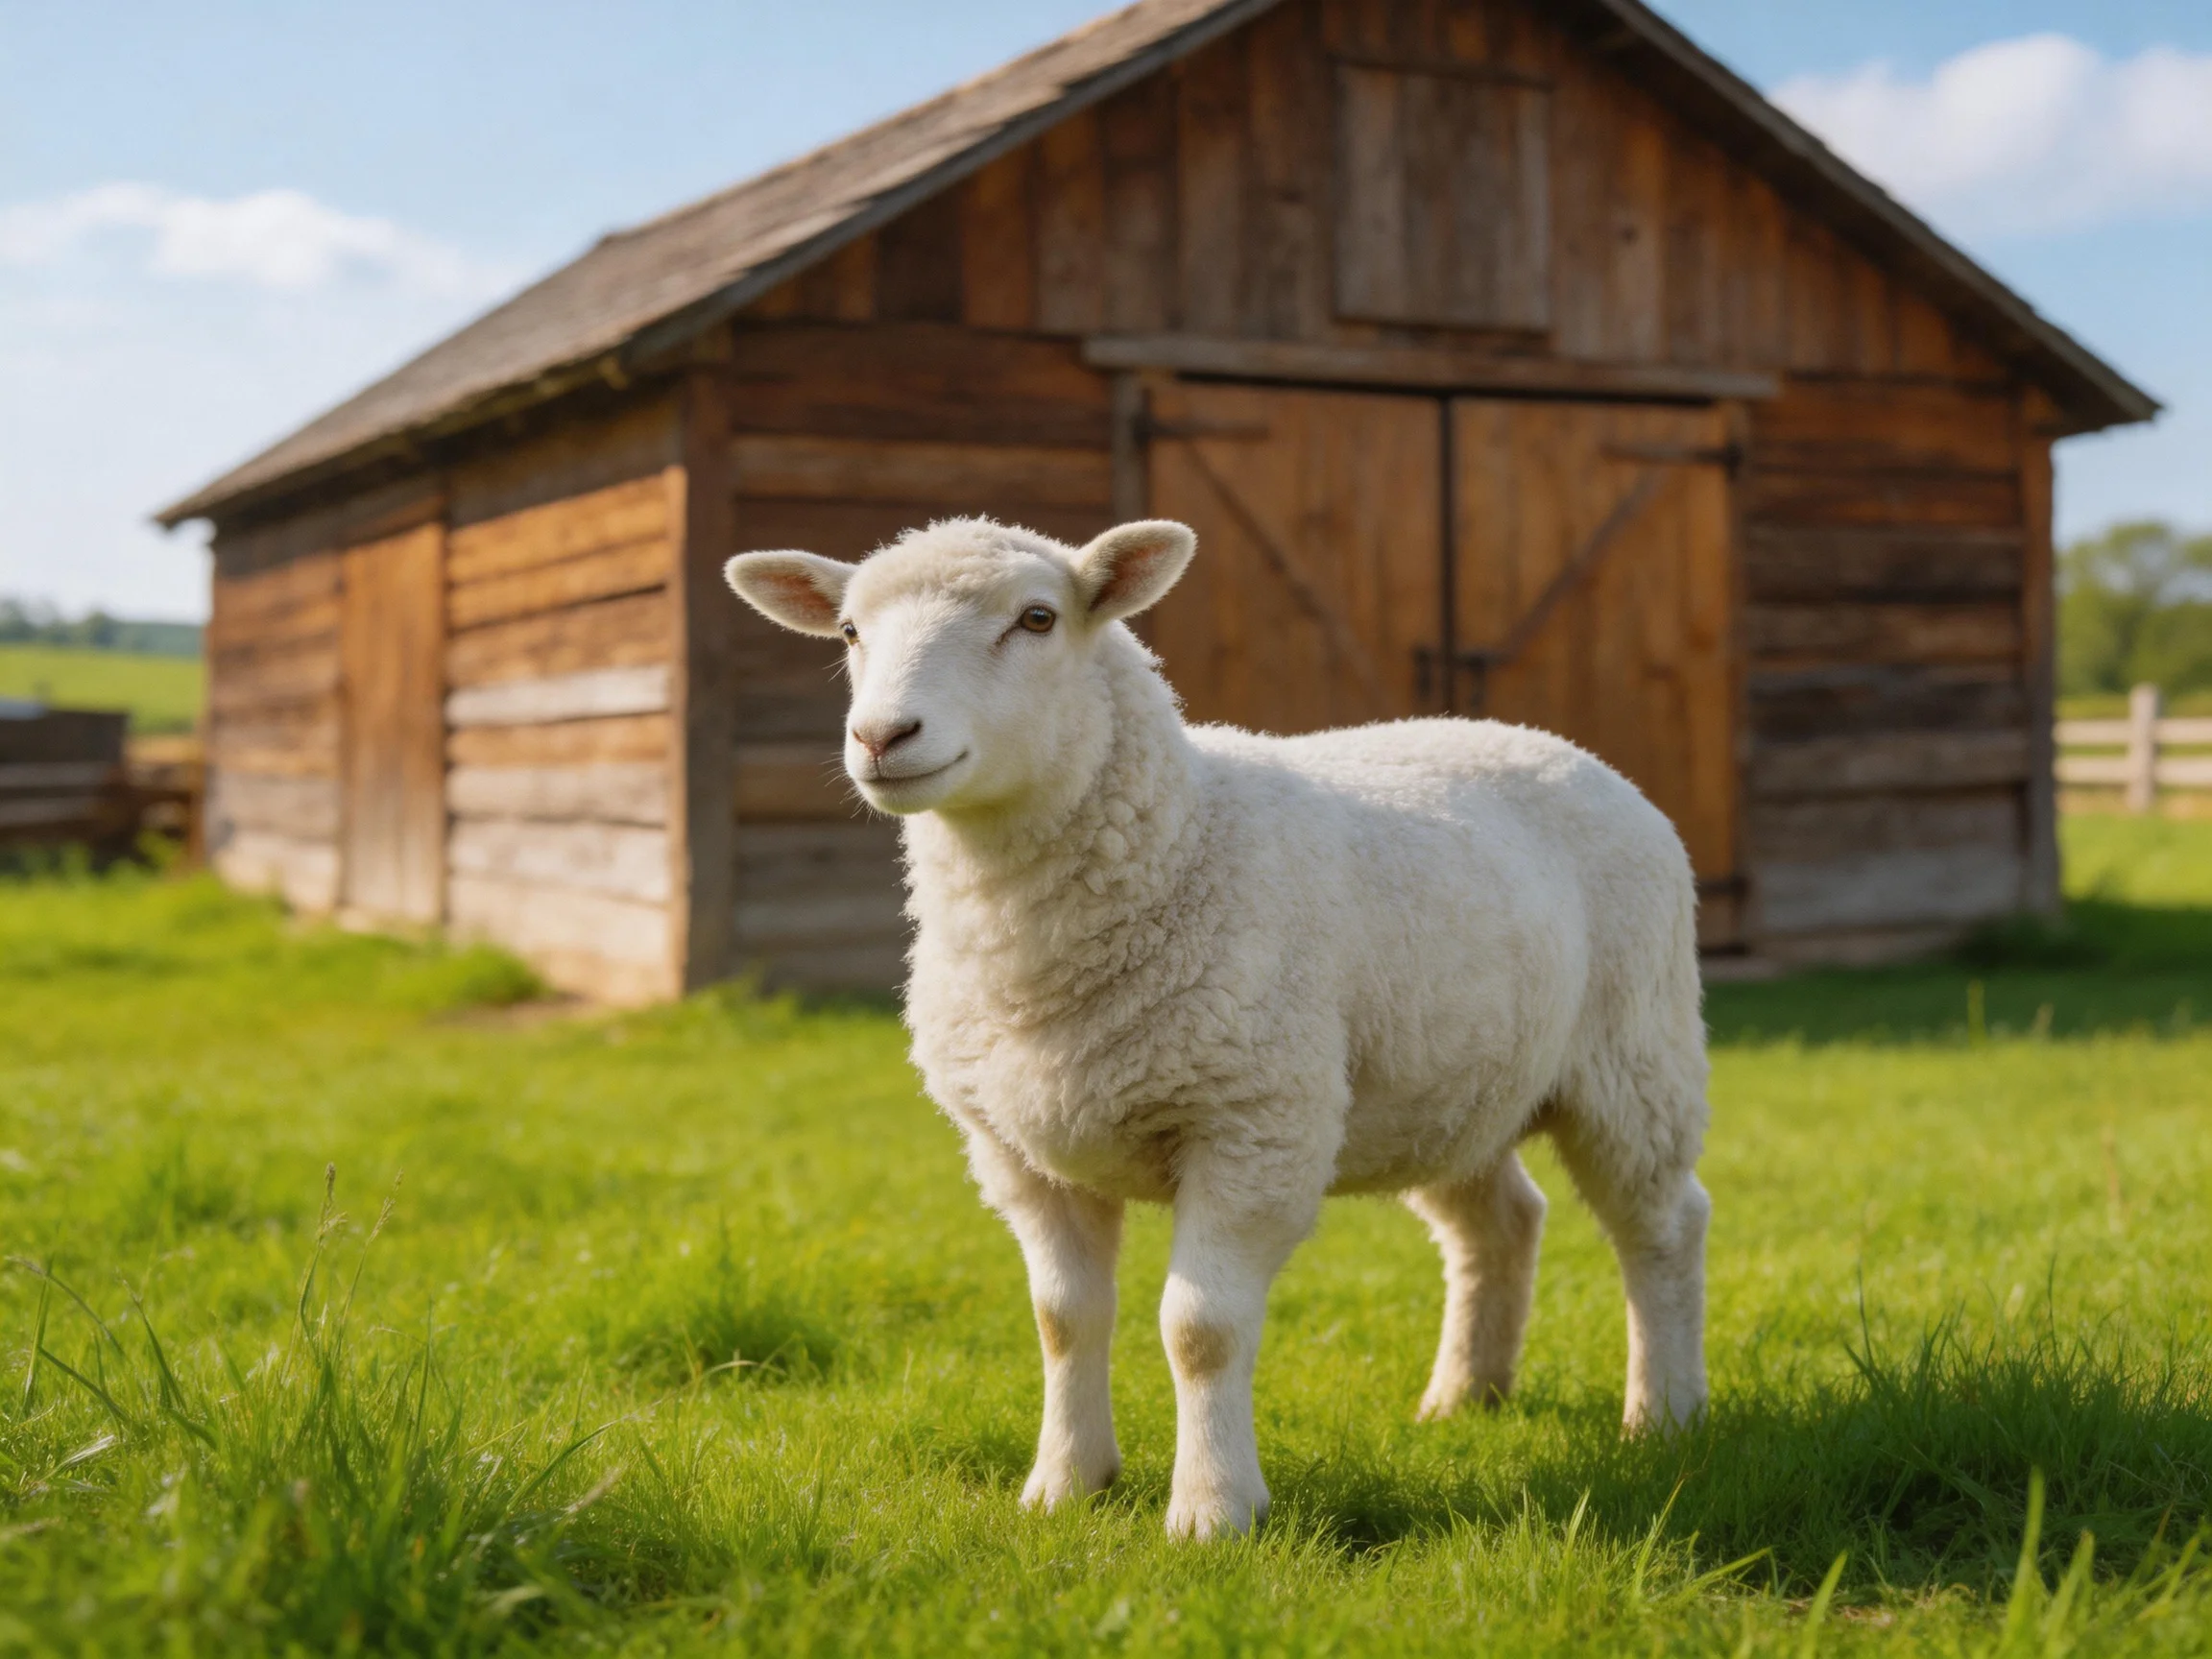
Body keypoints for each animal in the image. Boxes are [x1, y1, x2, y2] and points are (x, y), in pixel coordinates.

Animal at [725, 515, 1711, 1541]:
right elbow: (1063, 1319)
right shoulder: (1020, 1152)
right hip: (1447, 1084)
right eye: (848, 632)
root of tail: (1556, 745)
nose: (882, 736)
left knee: (1663, 1225)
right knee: (1501, 1223)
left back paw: (1665, 1414)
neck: (1182, 835)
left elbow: (1201, 1329)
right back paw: (1464, 1397)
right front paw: (1065, 1485)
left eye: (1037, 618)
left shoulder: (1251, 1124)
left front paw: (1212, 1511)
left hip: (1635, 1054)